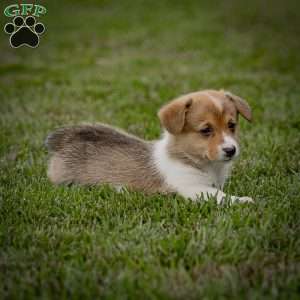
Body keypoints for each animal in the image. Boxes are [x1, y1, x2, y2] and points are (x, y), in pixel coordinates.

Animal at [45, 89, 253, 204]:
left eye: (232, 125)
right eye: (206, 130)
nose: (231, 150)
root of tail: (65, 140)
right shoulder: (192, 187)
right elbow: (220, 195)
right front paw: (241, 200)